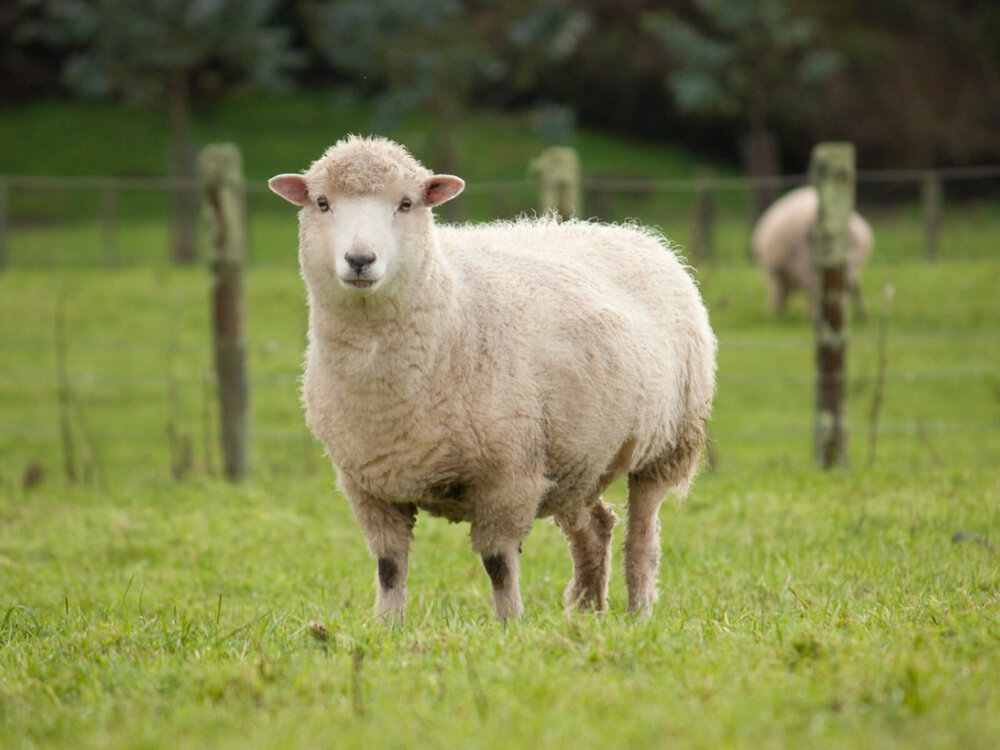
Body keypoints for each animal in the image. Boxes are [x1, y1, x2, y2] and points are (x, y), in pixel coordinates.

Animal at [268, 135, 716, 622]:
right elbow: (389, 566)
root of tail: (634, 234)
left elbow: (498, 564)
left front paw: (510, 625)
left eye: (406, 203)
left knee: (642, 539)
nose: (360, 259)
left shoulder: (509, 477)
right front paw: (387, 626)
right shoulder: (369, 485)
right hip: (576, 457)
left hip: (667, 444)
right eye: (322, 203)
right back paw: (586, 613)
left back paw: (637, 614)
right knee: (595, 527)